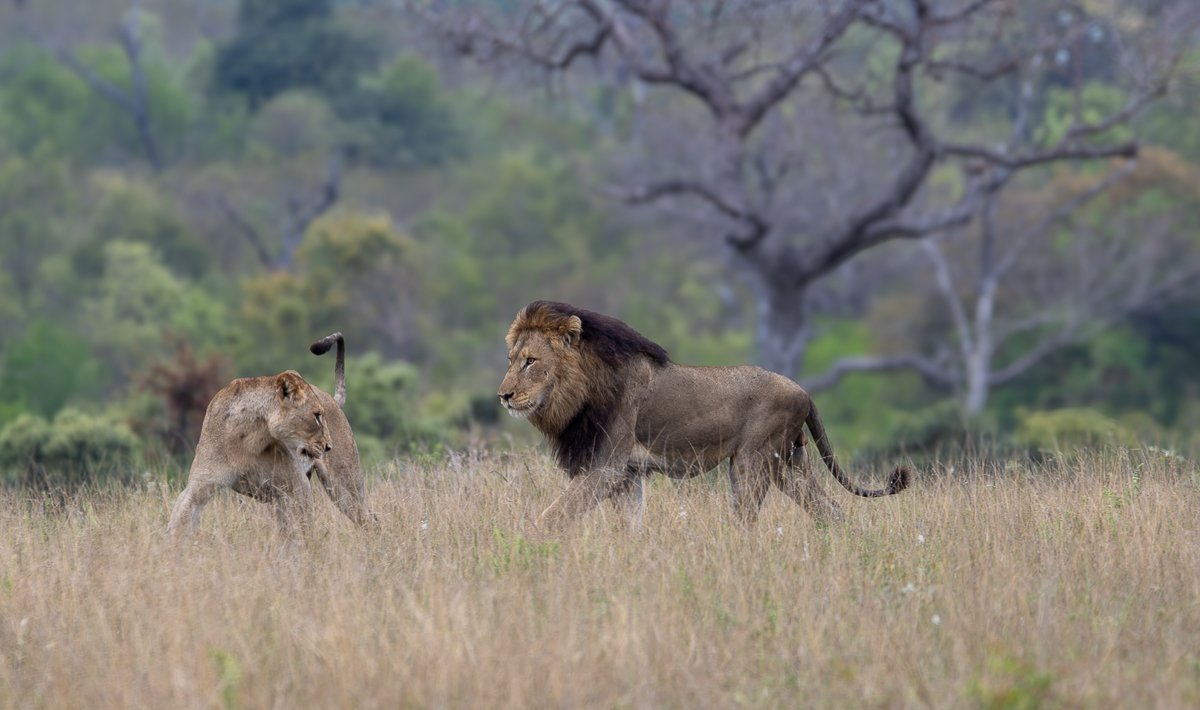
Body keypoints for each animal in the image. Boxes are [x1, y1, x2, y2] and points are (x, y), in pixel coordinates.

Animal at [167, 332, 374, 538]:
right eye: (316, 415)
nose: (328, 446)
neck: (249, 440)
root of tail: (332, 398)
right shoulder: (198, 486)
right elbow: (178, 524)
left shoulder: (298, 488)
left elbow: (305, 531)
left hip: (345, 485)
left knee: (370, 519)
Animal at [498, 300, 910, 530]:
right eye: (511, 360)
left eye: (531, 361)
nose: (503, 396)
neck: (579, 390)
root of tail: (803, 392)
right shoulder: (627, 473)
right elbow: (629, 526)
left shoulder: (606, 466)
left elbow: (551, 516)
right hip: (789, 462)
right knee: (832, 511)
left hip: (752, 462)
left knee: (748, 523)